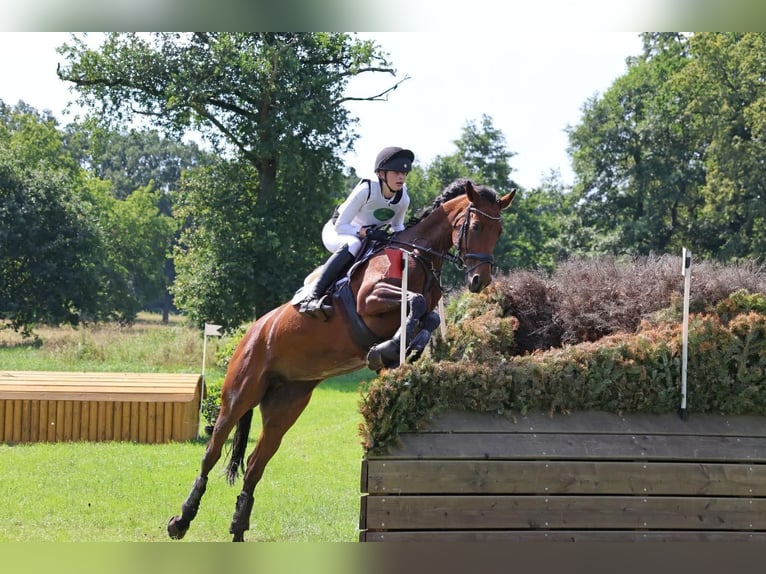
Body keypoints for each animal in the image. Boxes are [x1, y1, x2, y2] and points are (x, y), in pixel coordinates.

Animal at [167, 178, 516, 541]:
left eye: (499, 230)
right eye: (475, 226)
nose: (480, 281)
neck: (416, 255)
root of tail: (253, 331)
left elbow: (429, 317)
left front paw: (398, 349)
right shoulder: (370, 299)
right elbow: (417, 302)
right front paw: (387, 348)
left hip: (285, 407)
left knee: (254, 466)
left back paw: (237, 530)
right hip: (239, 394)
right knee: (211, 454)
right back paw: (181, 521)